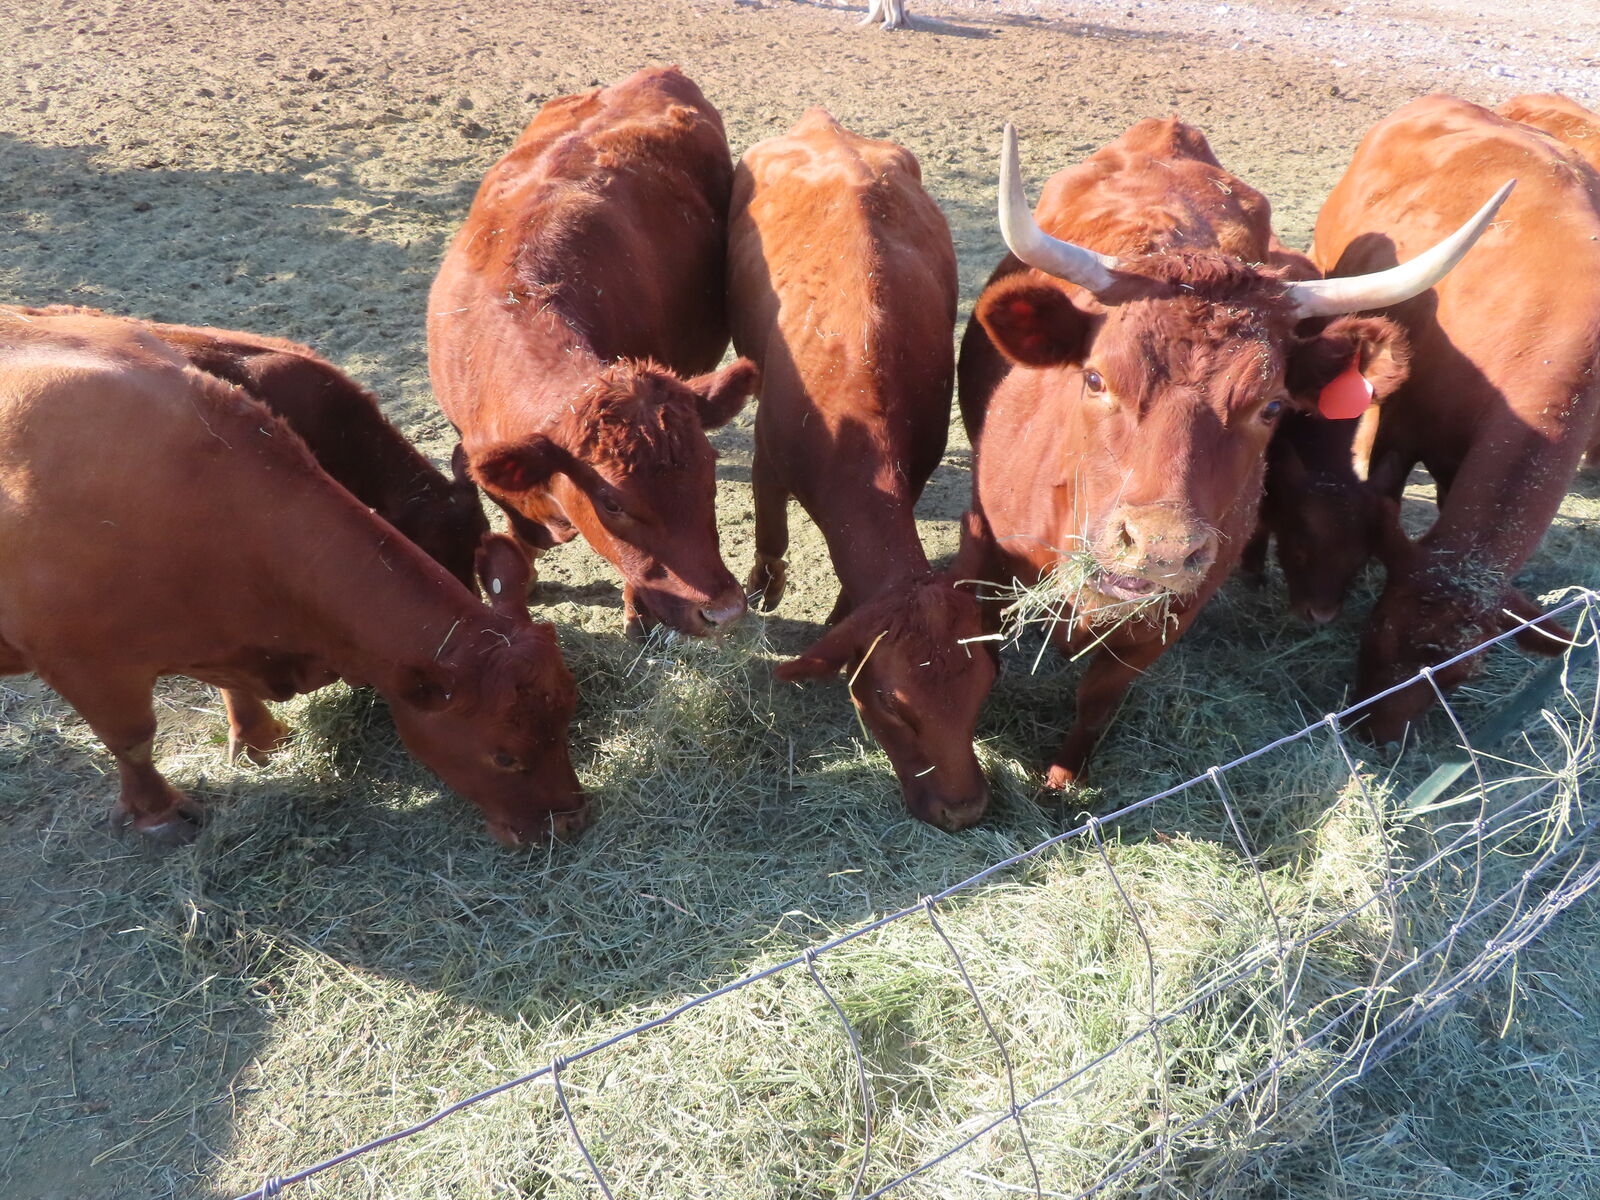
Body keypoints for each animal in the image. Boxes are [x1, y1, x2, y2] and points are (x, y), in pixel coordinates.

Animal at [726, 108, 993, 831]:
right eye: (892, 705)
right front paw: (765, 585)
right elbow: (771, 531)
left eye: (984, 684)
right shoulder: (768, 457)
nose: (964, 810)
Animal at [955, 117, 1505, 788]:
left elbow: (1098, 698)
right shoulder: (981, 548)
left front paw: (1064, 780)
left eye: (1270, 407)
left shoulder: (1171, 618)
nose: (1161, 550)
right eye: (1094, 379)